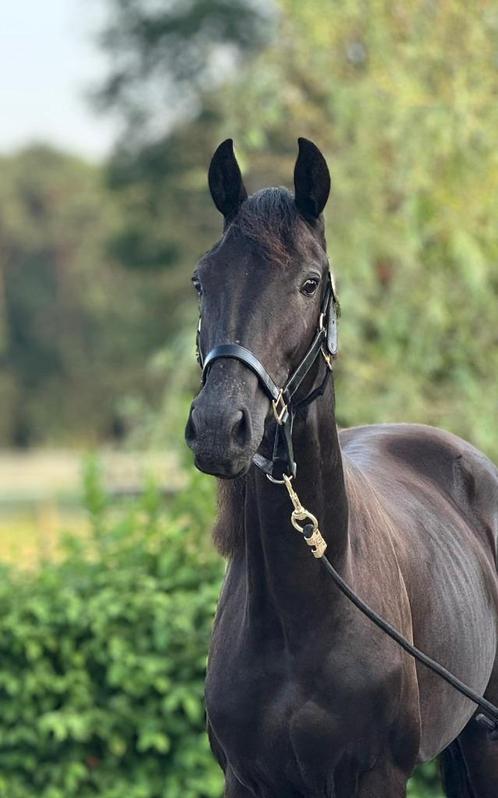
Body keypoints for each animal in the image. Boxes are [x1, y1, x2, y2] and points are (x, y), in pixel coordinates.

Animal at [185, 139, 496, 798]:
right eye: (202, 280)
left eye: (309, 283)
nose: (221, 426)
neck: (303, 610)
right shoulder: (246, 780)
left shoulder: (376, 777)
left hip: (487, 737)